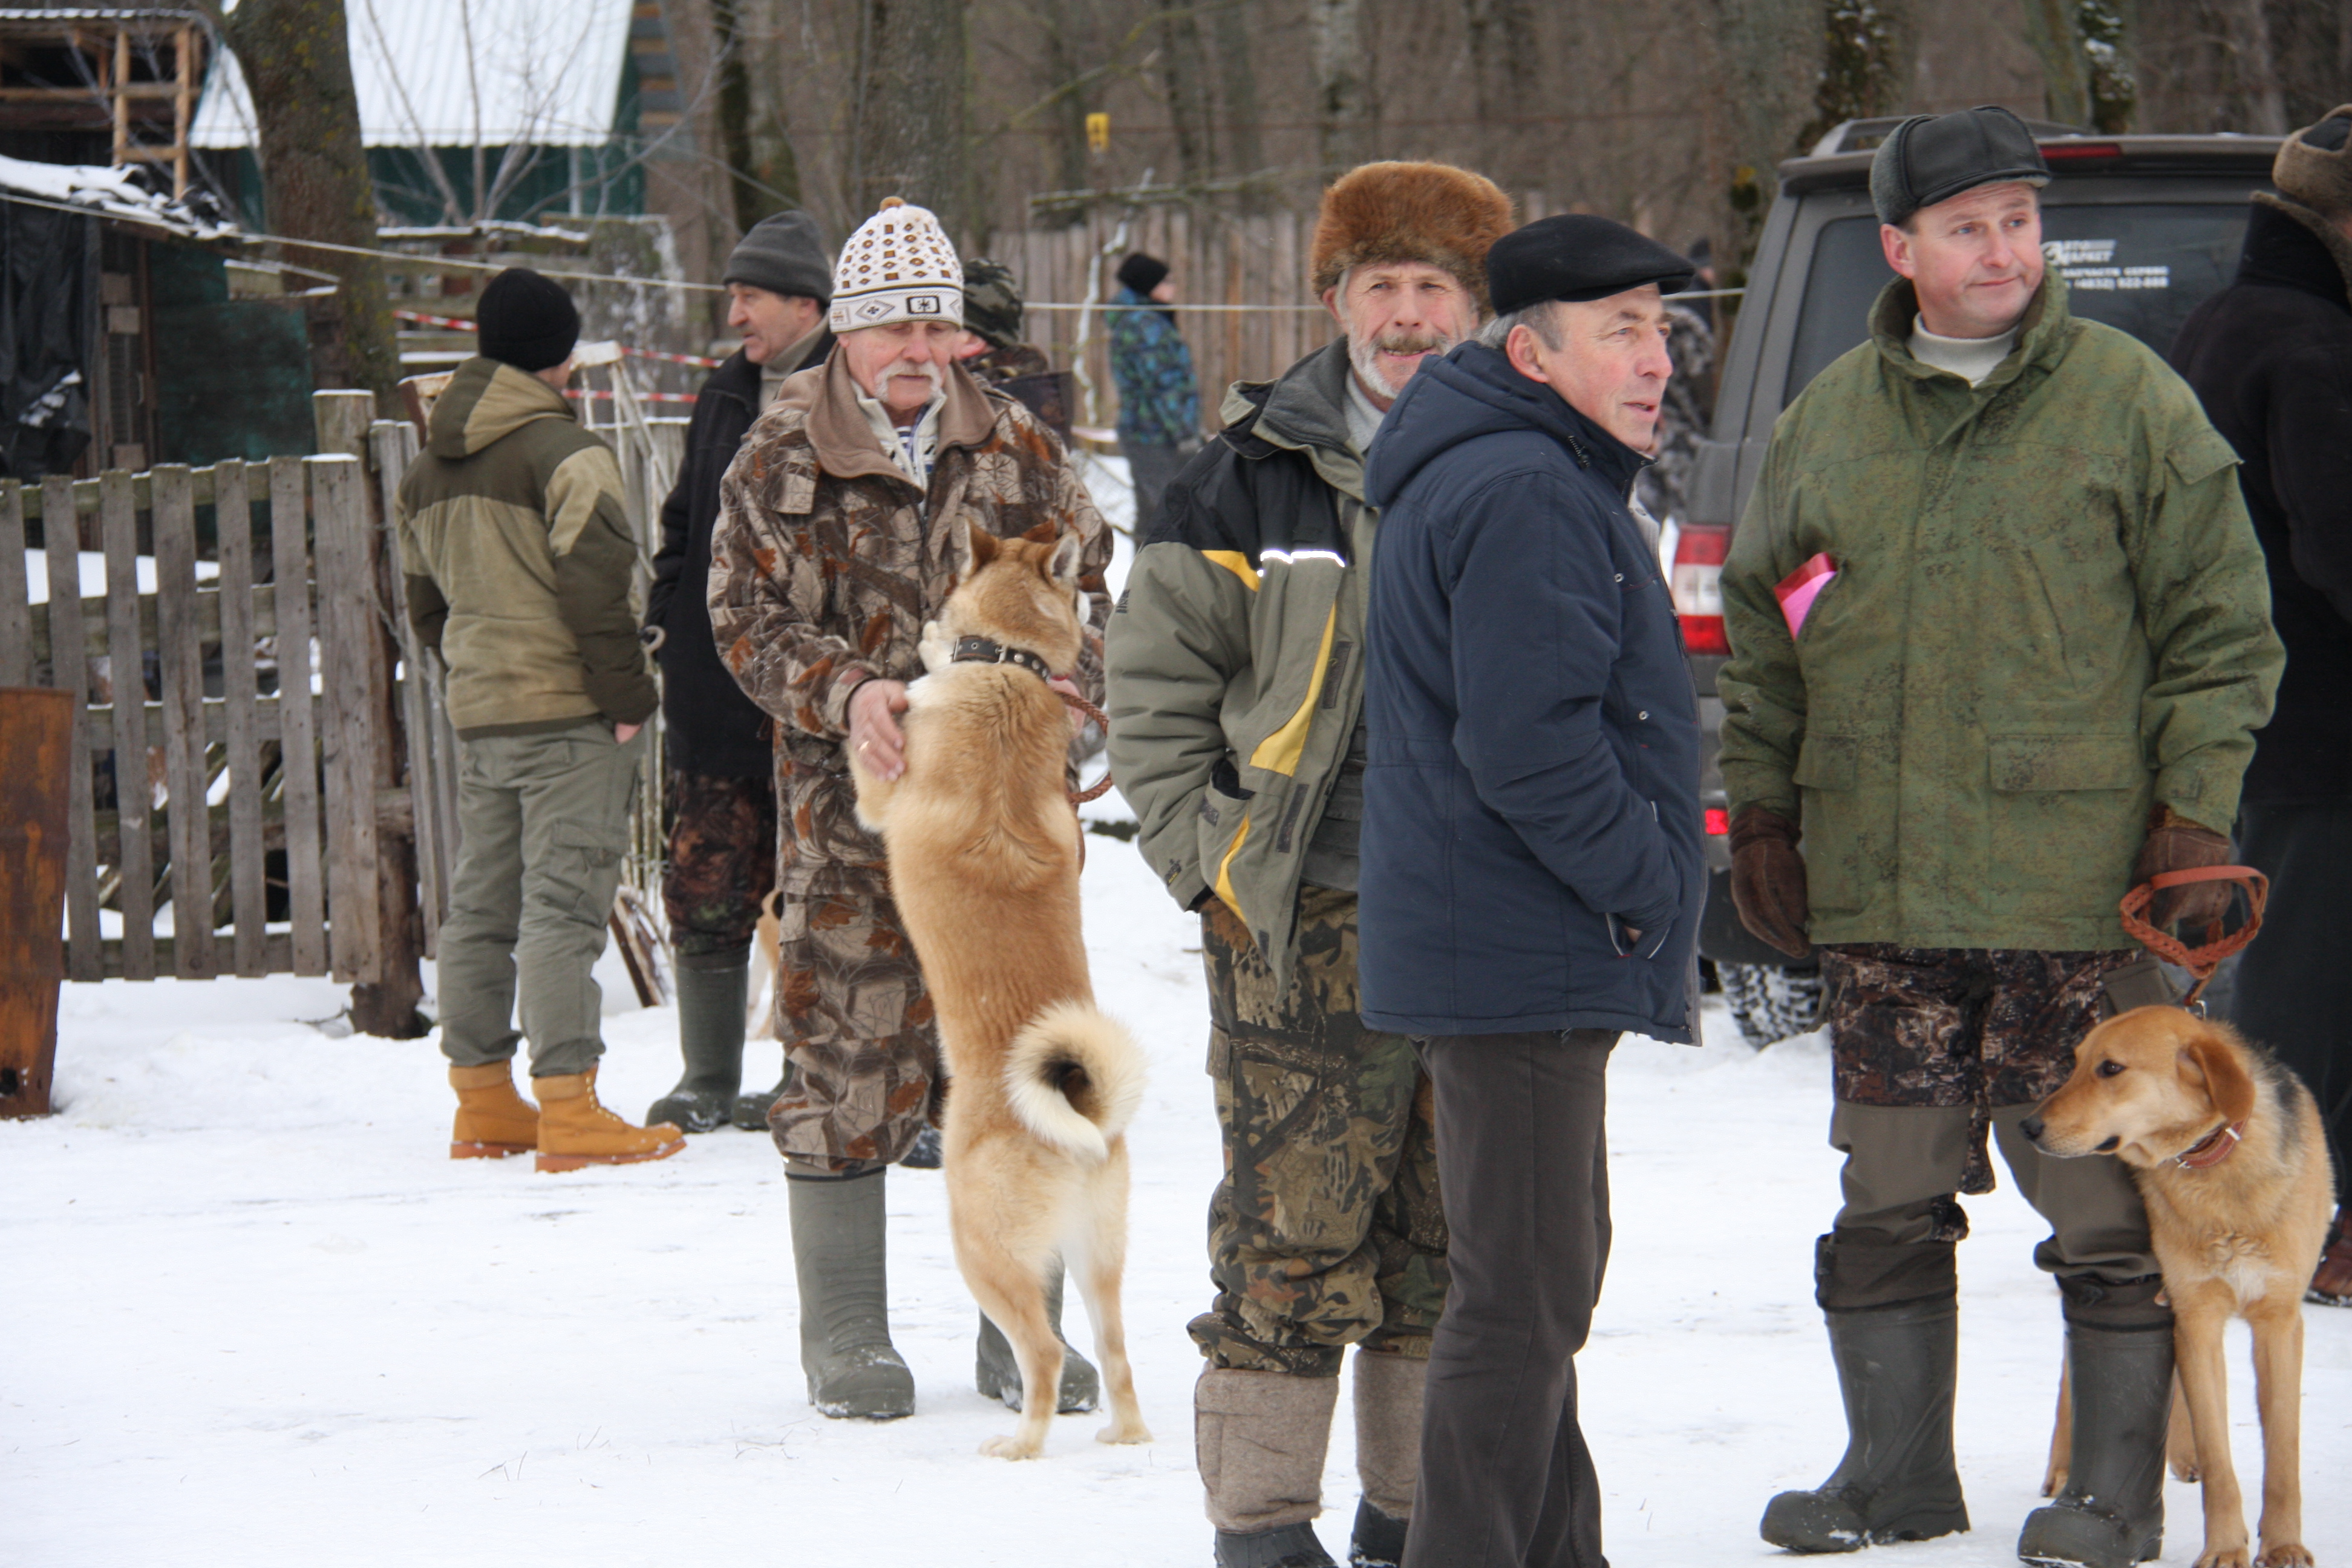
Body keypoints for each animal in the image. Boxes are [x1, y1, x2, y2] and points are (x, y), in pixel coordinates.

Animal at [849, 520, 1152, 1461]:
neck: (1008, 665)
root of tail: (1077, 1115)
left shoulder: (881, 790)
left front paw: (910, 659)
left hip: (982, 1249)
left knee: (1045, 1353)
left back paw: (1018, 1446)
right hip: (1098, 1259)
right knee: (1116, 1353)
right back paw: (1122, 1438)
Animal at [2026, 1005, 2335, 1568]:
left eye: (2111, 1069)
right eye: (2075, 1064)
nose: (2027, 1126)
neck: (2214, 1161)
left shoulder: (2277, 1319)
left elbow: (2282, 1454)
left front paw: (2283, 1544)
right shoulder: (2196, 1314)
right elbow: (2220, 1459)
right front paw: (2226, 1548)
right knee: (2070, 1375)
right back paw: (2062, 1472)